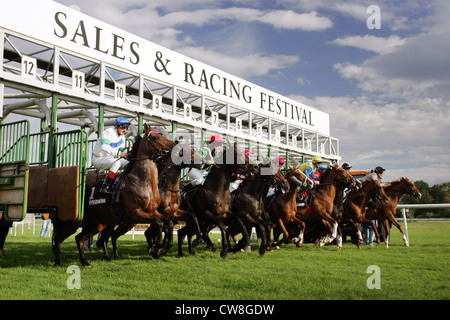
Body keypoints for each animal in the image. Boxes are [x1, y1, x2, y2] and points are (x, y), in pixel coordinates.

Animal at [74, 122, 175, 264]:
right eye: (156, 137)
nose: (174, 145)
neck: (142, 182)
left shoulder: (152, 211)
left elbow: (167, 222)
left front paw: (165, 247)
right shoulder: (134, 213)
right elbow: (159, 222)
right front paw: (157, 247)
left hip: (103, 223)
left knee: (93, 237)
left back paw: (105, 257)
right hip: (93, 222)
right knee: (80, 237)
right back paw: (84, 261)